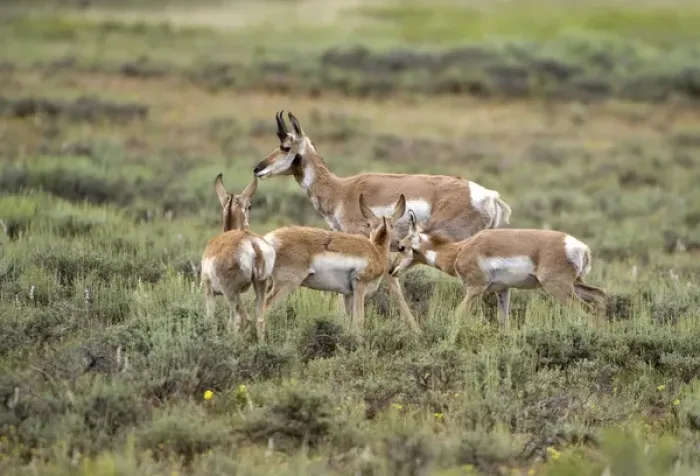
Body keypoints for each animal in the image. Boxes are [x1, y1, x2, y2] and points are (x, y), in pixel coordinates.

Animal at [200, 173, 275, 340]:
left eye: (249, 206)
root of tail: (251, 241)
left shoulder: (210, 292)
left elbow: (211, 319)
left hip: (230, 293)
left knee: (242, 319)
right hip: (259, 285)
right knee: (259, 320)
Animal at [260, 194, 407, 334]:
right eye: (392, 226)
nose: (401, 245)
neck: (375, 249)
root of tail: (269, 239)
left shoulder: (348, 295)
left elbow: (349, 322)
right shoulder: (360, 287)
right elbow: (359, 321)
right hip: (286, 285)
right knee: (264, 312)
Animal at [389, 211, 607, 330]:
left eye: (401, 246)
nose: (391, 270)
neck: (460, 250)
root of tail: (580, 247)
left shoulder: (474, 290)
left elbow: (457, 315)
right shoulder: (503, 291)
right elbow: (504, 321)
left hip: (558, 289)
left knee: (587, 311)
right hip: (574, 285)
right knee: (600, 297)